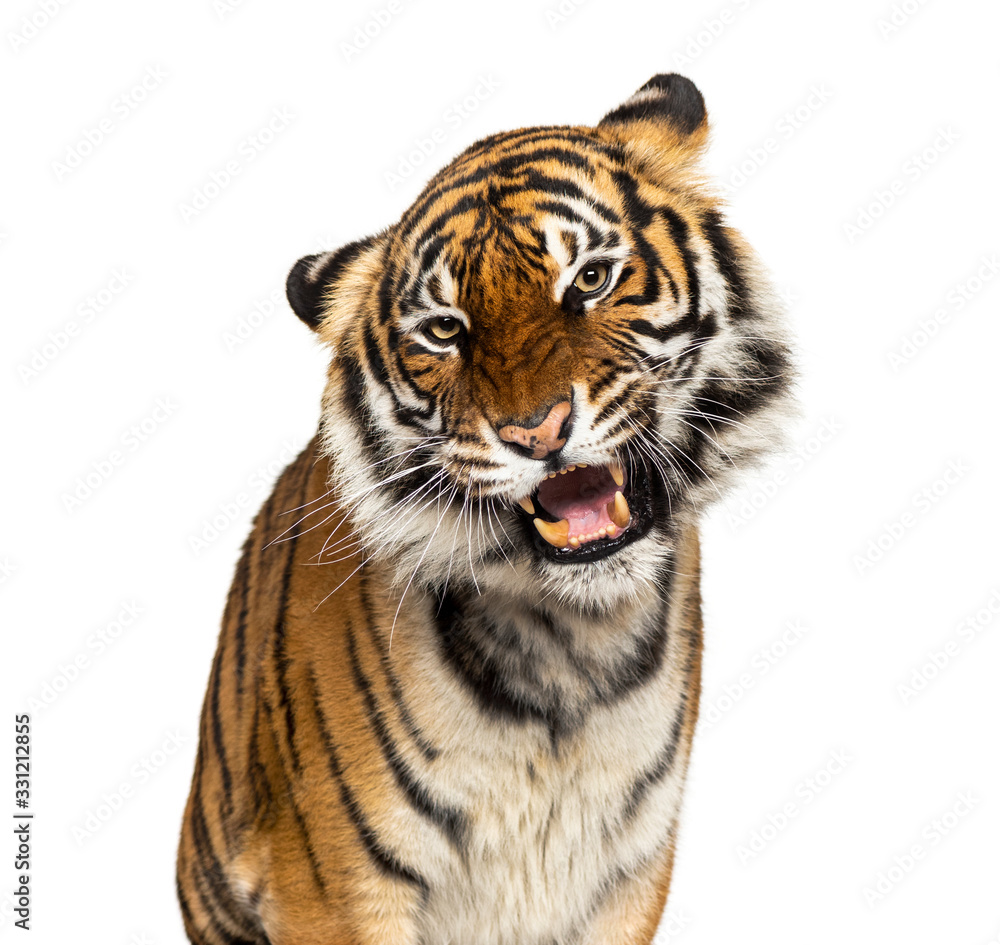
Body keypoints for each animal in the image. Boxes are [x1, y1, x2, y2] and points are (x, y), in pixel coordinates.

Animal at [176, 73, 793, 945]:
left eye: (590, 280)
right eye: (444, 330)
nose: (536, 431)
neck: (572, 648)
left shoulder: (628, 877)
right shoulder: (333, 887)